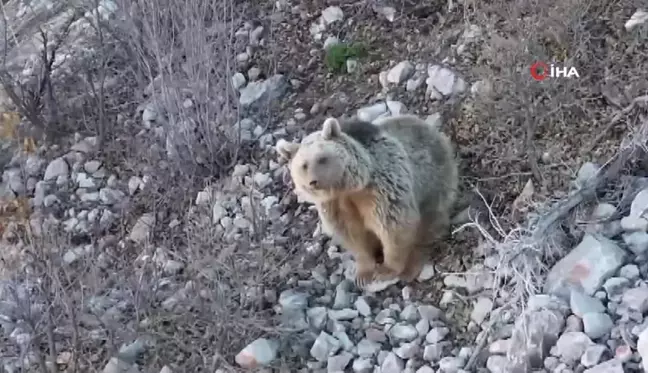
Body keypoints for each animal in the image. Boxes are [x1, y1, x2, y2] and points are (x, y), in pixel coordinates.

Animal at [276, 115, 458, 286]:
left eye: (322, 158)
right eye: (303, 165)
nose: (313, 182)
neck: (348, 188)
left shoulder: (381, 190)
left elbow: (394, 228)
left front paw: (386, 270)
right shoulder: (335, 206)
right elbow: (354, 235)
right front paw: (363, 274)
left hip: (433, 181)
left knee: (429, 225)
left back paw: (411, 268)